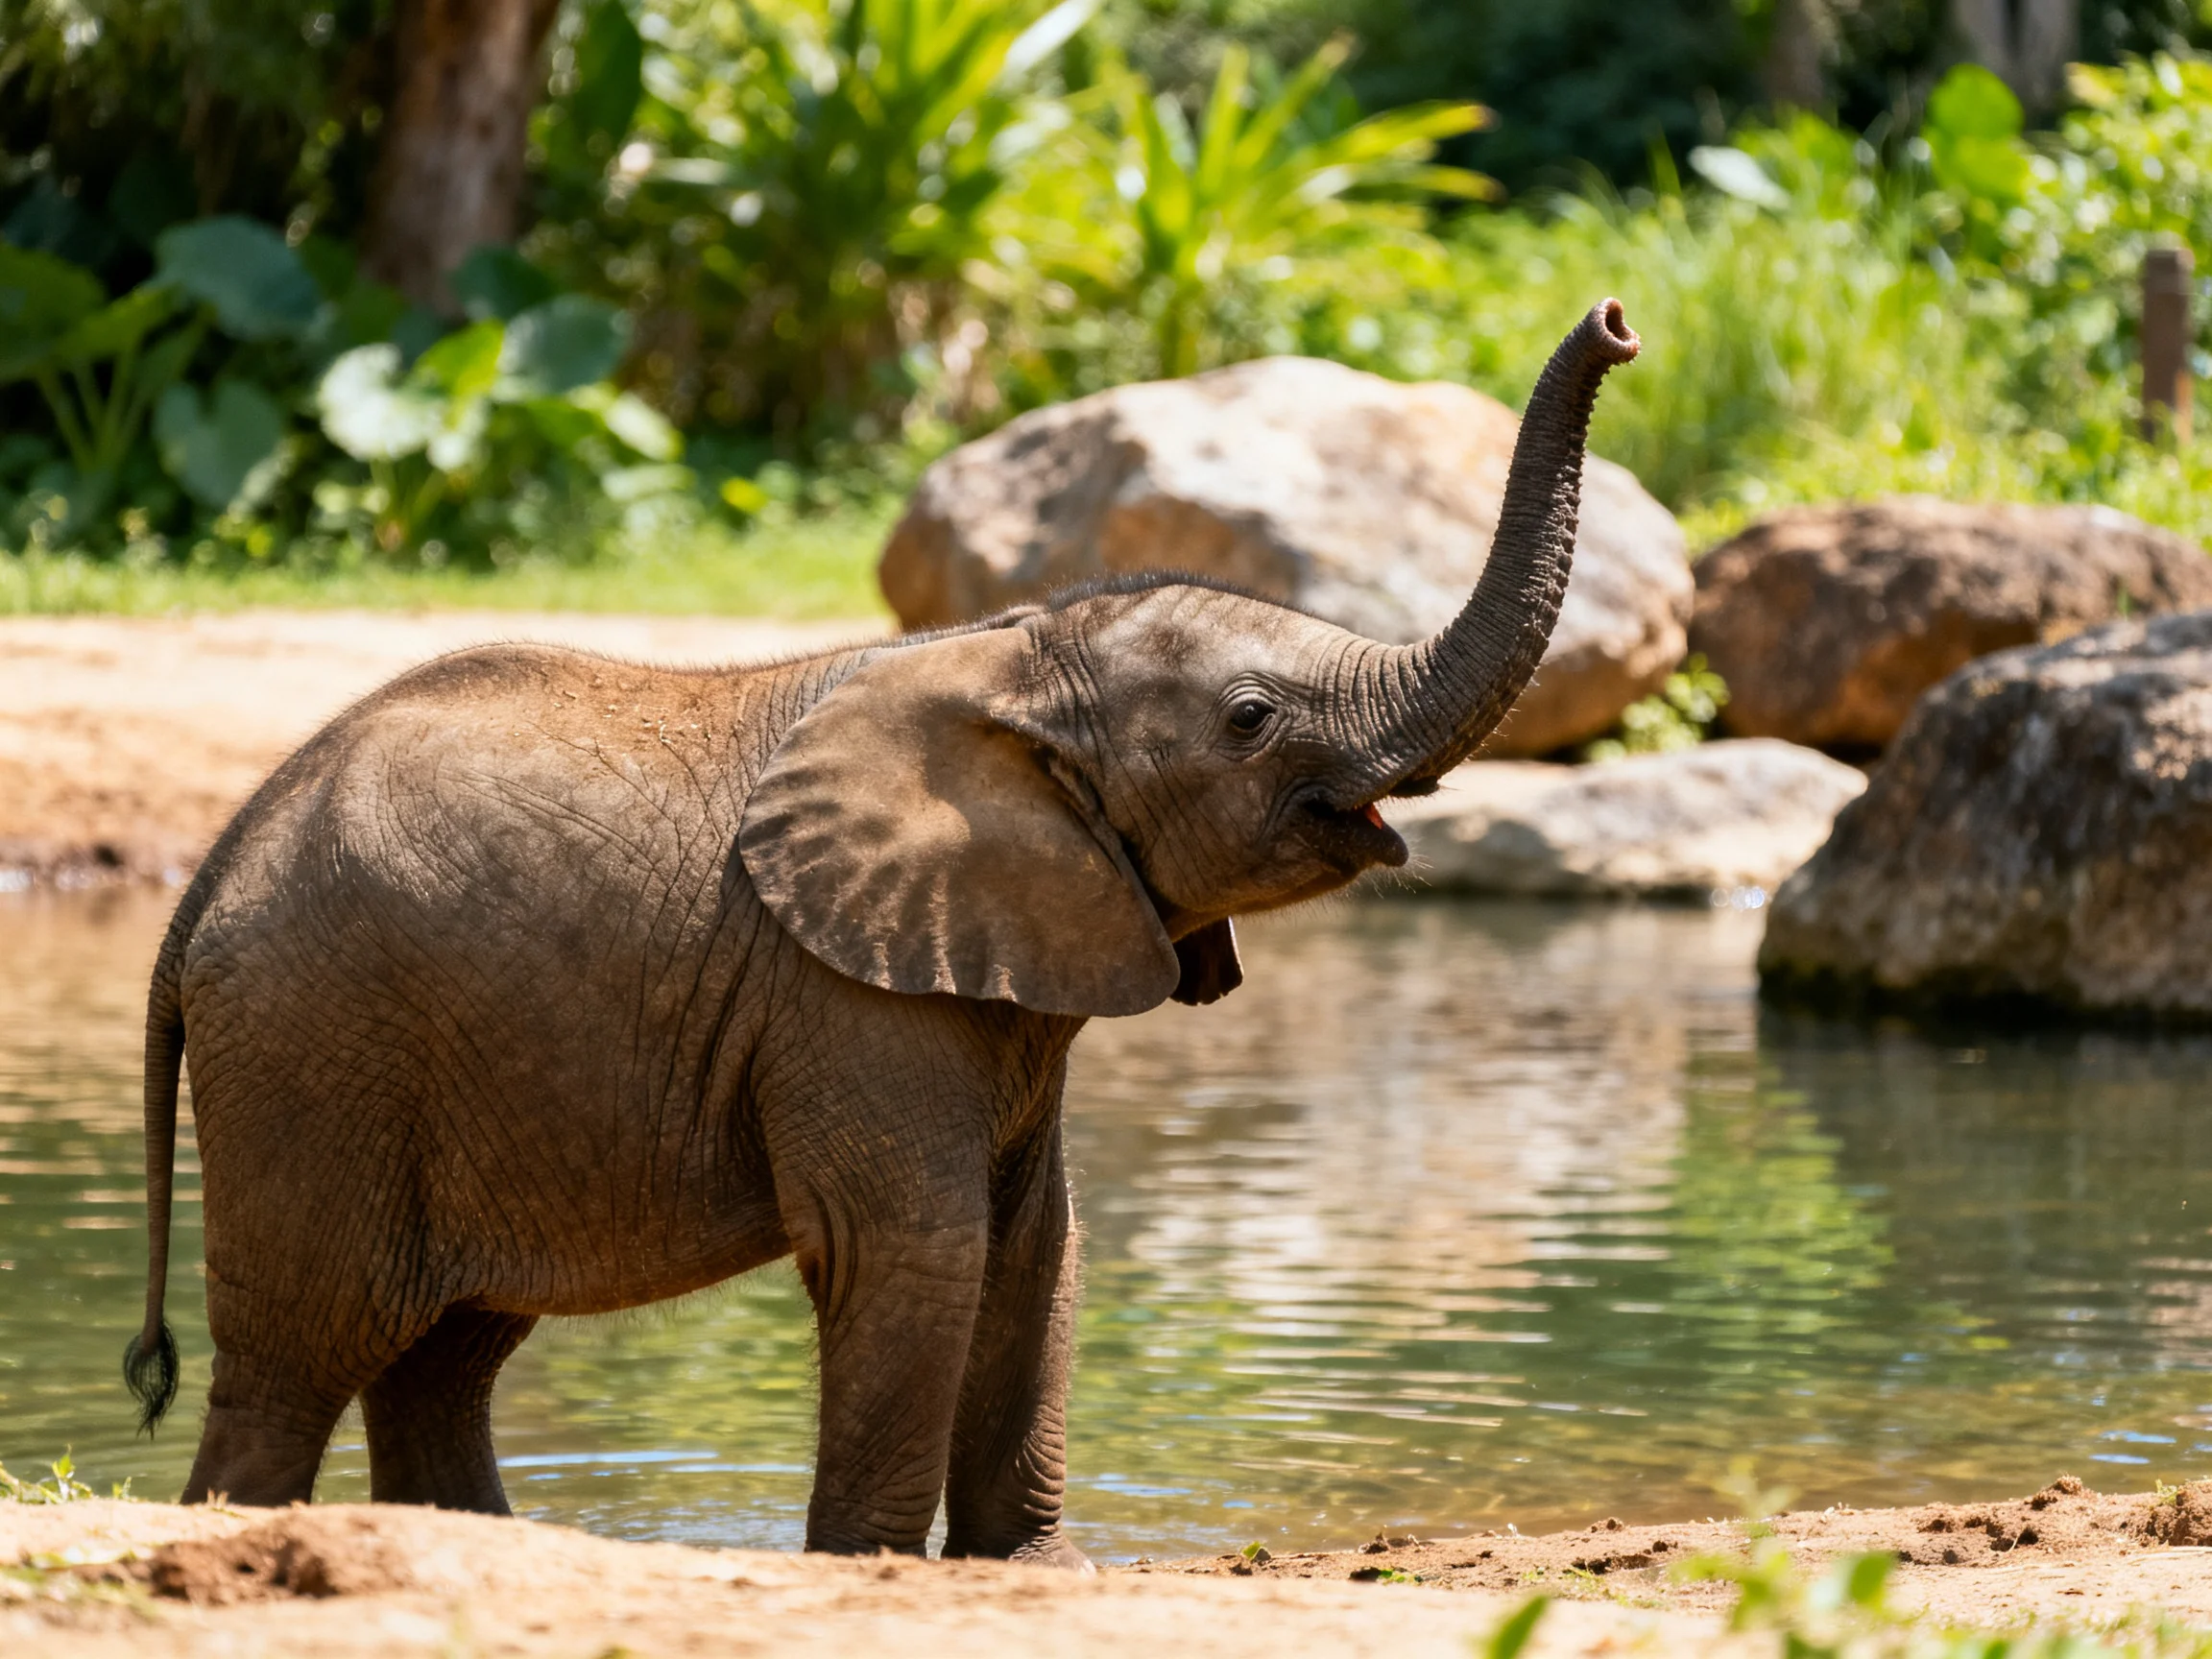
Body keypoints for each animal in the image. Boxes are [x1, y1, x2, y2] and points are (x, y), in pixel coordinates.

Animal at [123, 300, 1639, 1567]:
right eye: (1253, 718)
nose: (1618, 322)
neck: (1015, 658)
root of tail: (205, 883)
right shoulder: (843, 995)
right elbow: (917, 1248)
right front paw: (868, 1569)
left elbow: (1038, 1249)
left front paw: (1032, 1574)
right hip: (317, 1055)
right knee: (301, 1354)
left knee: (445, 1356)